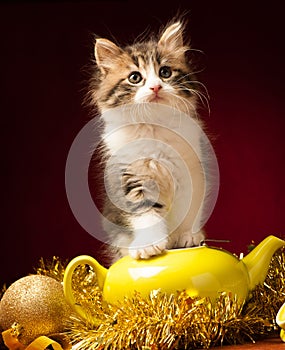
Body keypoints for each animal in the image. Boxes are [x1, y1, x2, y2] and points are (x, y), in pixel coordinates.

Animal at [89, 18, 209, 260]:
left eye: (165, 72)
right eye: (135, 77)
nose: (155, 87)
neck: (153, 127)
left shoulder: (191, 172)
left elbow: (189, 209)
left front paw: (187, 236)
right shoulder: (131, 176)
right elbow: (144, 213)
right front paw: (149, 245)